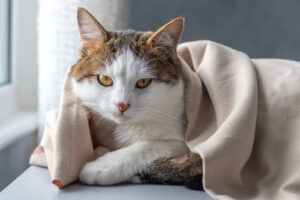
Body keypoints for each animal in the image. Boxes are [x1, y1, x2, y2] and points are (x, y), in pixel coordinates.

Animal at [71, 7, 202, 188]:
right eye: (105, 79)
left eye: (143, 82)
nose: (122, 105)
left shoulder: (184, 139)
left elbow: (149, 146)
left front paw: (100, 167)